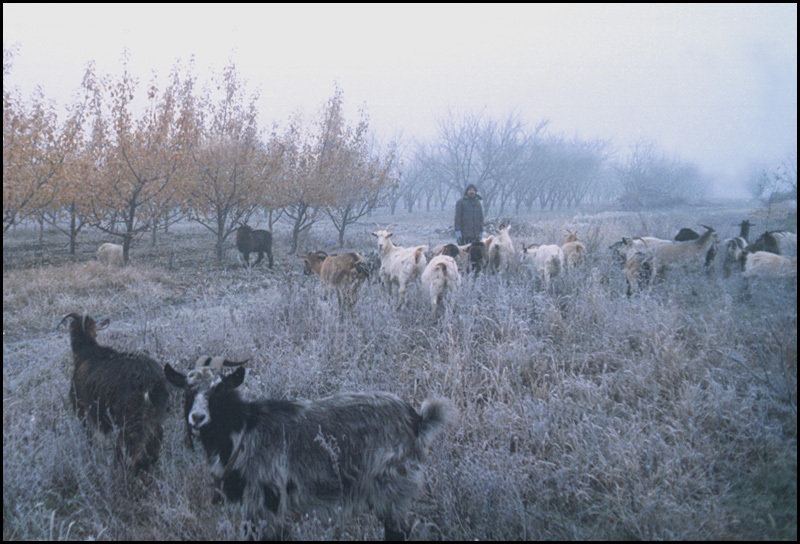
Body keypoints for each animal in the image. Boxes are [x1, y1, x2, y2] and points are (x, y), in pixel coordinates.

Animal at [59, 312, 169, 474]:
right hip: (155, 420)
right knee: (154, 450)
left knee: (138, 457)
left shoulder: (82, 409)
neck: (87, 351)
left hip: (132, 422)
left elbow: (91, 439)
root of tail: (153, 383)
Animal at [164, 356, 450, 540]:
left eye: (219, 389)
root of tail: (417, 419)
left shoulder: (267, 502)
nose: (197, 418)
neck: (243, 429)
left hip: (391, 487)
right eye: (188, 390)